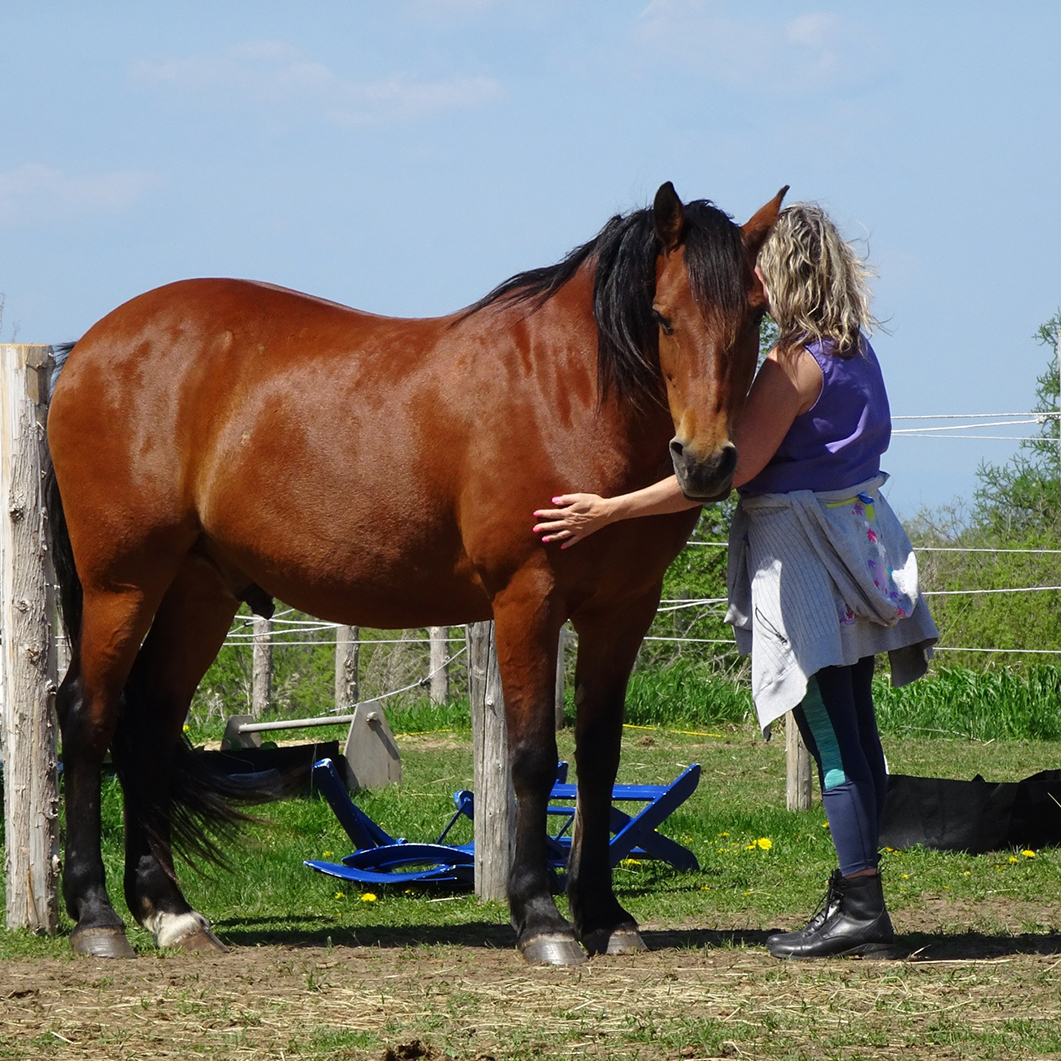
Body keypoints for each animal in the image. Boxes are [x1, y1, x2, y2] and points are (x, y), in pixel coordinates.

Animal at [45, 180, 785, 963]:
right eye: (662, 316)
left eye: (755, 313)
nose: (704, 461)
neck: (567, 392)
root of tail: (88, 347)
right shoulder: (527, 598)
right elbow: (531, 756)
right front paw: (542, 919)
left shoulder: (623, 609)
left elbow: (598, 757)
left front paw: (604, 915)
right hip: (122, 585)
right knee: (89, 715)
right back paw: (96, 916)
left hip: (198, 592)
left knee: (149, 726)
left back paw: (170, 910)